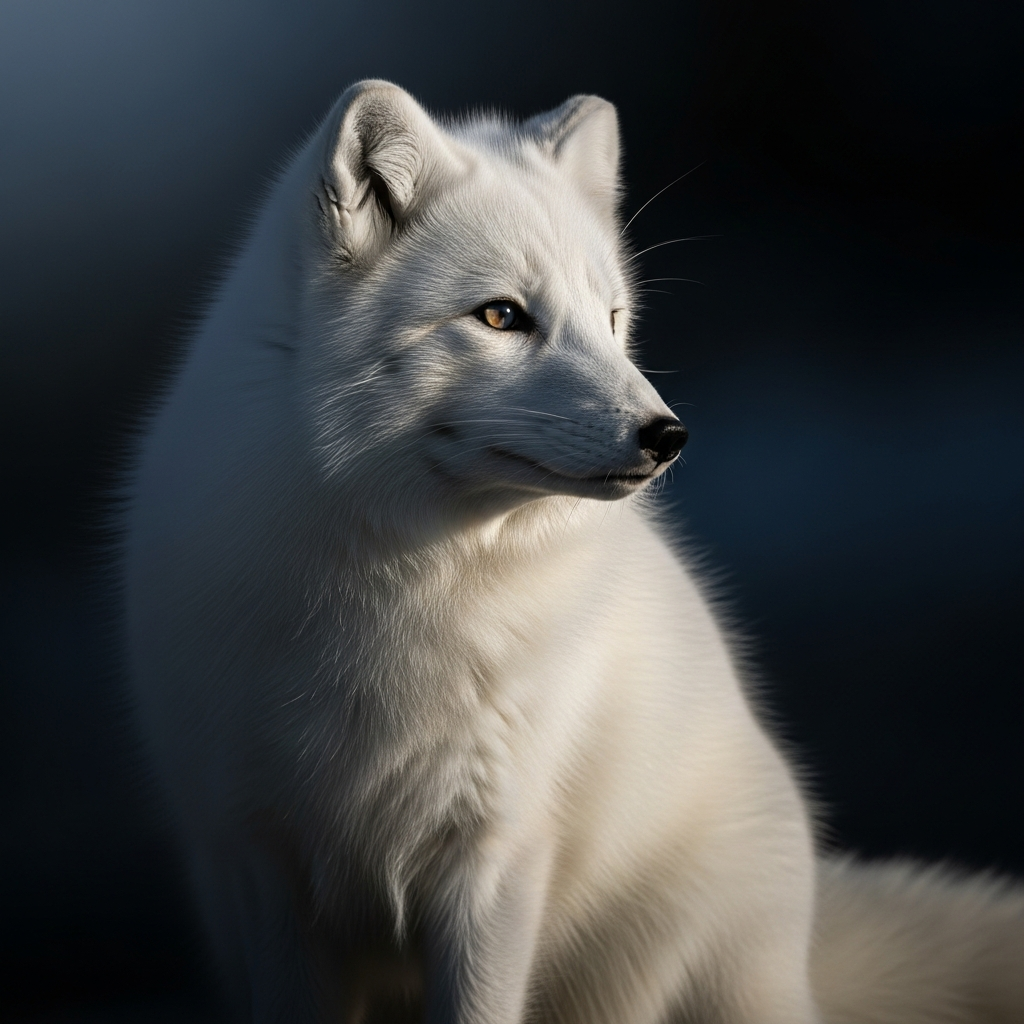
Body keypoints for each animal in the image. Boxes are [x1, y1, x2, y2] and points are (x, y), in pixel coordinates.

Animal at [124, 80, 1024, 1023]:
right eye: (501, 316)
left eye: (614, 318)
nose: (668, 436)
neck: (396, 587)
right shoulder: (264, 862)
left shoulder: (497, 853)